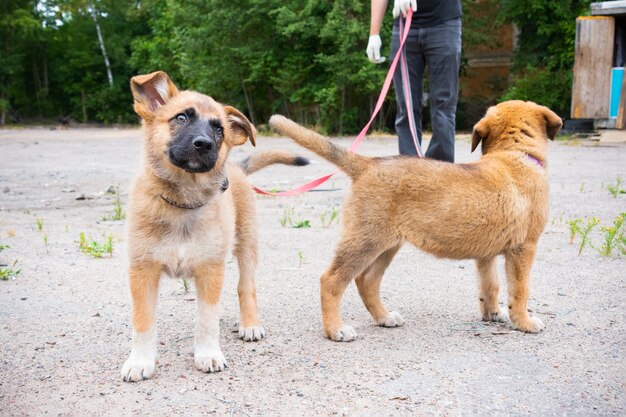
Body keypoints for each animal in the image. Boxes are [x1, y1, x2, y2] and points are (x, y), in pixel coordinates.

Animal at [120, 71, 308, 380]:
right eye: (181, 117)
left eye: (219, 129)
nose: (205, 144)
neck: (182, 204)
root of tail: (237, 168)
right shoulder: (142, 271)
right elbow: (143, 322)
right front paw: (139, 362)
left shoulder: (210, 270)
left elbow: (207, 320)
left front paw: (208, 354)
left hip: (247, 246)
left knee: (246, 287)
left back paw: (250, 324)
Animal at [268, 101, 560, 342]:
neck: (513, 155)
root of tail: (368, 164)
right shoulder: (524, 248)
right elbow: (520, 290)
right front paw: (524, 322)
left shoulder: (485, 255)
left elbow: (490, 285)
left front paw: (493, 314)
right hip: (365, 241)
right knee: (331, 280)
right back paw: (335, 329)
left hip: (386, 245)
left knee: (366, 280)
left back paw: (384, 317)